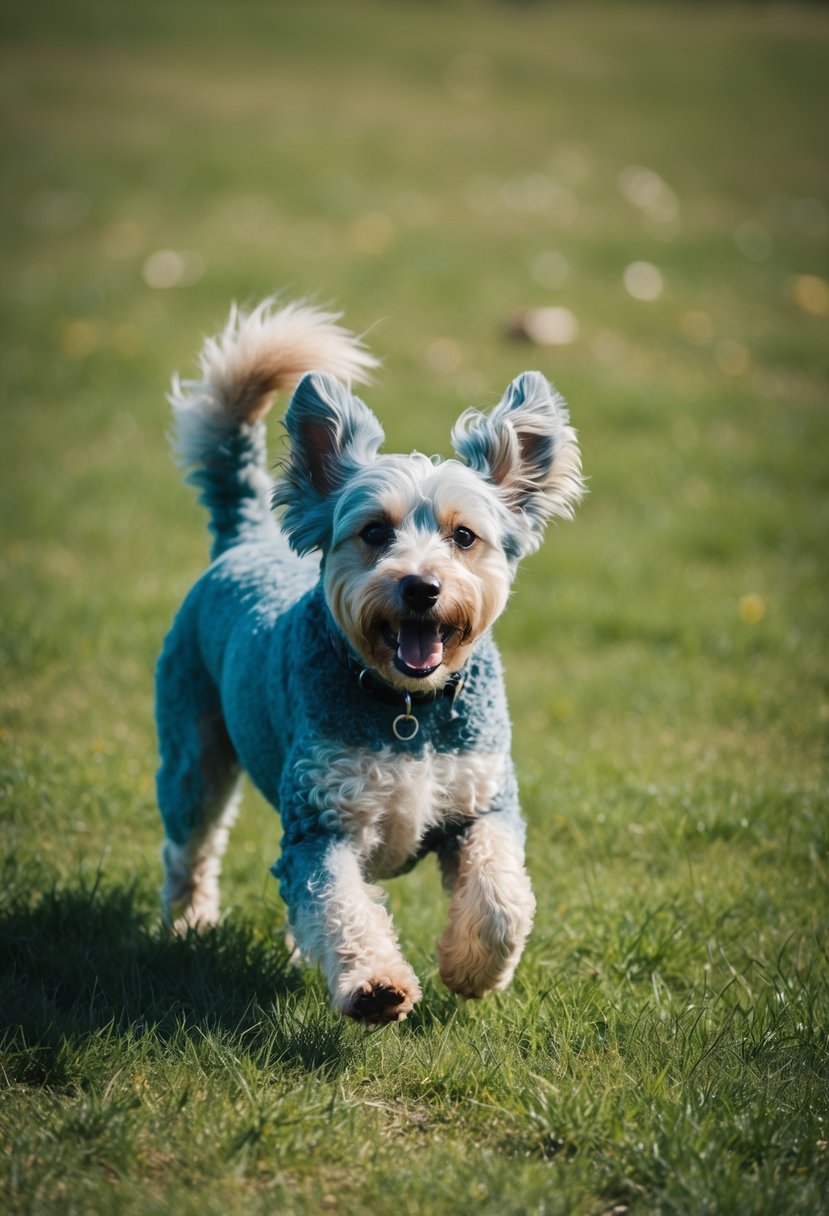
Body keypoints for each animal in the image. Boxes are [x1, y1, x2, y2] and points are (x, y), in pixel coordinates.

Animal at [154, 296, 581, 1026]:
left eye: (464, 536)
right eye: (374, 531)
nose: (421, 587)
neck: (406, 708)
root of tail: (242, 539)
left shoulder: (482, 802)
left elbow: (501, 896)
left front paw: (472, 970)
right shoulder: (320, 822)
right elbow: (338, 903)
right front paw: (375, 985)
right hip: (192, 744)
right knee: (191, 844)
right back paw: (188, 926)